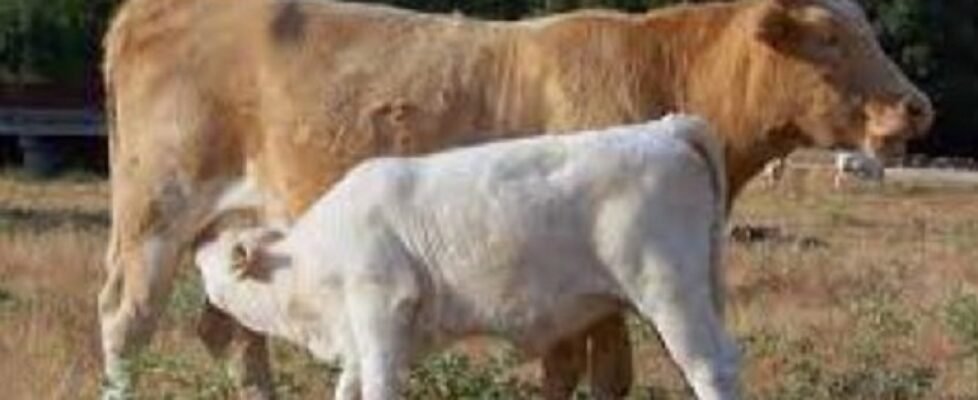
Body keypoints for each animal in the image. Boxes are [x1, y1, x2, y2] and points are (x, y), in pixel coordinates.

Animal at [195, 115, 736, 400]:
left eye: (214, 257)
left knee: (710, 369)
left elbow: (378, 387)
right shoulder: (358, 338)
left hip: (669, 291)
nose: (198, 244)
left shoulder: (381, 308)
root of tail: (663, 129)